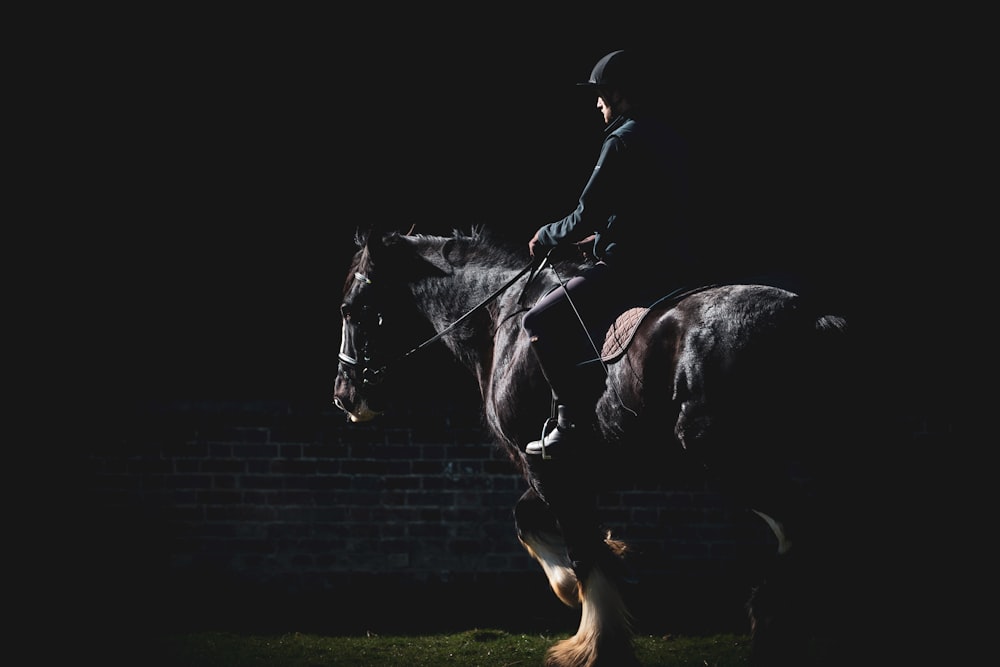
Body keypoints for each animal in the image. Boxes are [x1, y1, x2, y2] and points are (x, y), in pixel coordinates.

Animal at [334, 227, 860, 664]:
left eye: (349, 310)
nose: (344, 396)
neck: (501, 320)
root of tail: (811, 316)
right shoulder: (566, 468)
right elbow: (532, 522)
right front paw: (585, 583)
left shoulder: (548, 467)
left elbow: (580, 549)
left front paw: (593, 642)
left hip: (728, 458)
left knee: (802, 528)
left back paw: (769, 620)